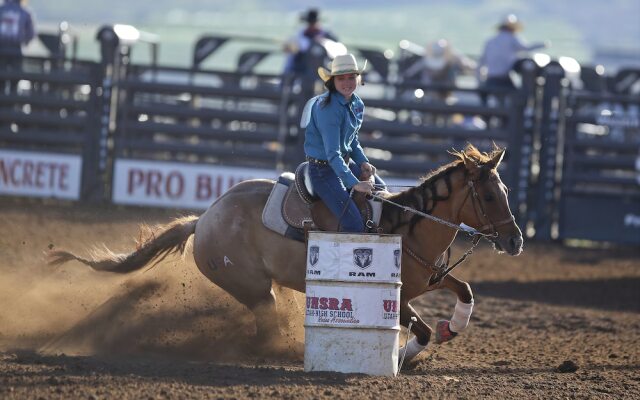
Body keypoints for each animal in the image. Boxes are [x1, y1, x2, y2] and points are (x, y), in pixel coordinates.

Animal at [48, 145, 520, 362]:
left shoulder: (432, 277)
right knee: (266, 326)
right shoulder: (399, 297)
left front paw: (450, 328)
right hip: (255, 289)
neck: (407, 227)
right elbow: (418, 329)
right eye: (489, 197)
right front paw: (404, 354)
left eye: (506, 191)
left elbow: (466, 291)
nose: (515, 240)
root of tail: (204, 219)